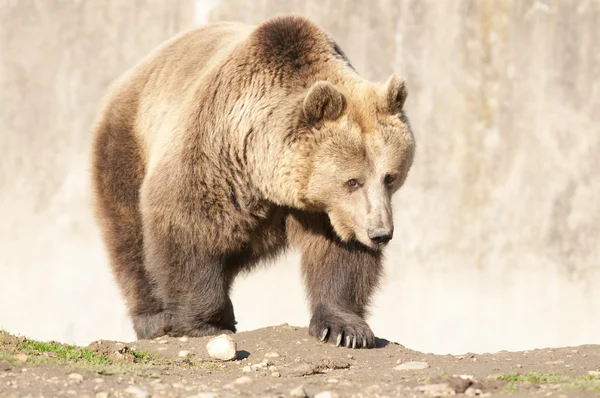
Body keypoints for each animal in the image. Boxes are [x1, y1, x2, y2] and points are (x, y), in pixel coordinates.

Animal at [91, 14, 414, 348]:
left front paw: (344, 330)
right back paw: (154, 318)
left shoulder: (325, 209)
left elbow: (339, 254)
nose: (381, 233)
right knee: (130, 235)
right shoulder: (212, 153)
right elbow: (186, 225)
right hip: (128, 141)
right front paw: (200, 323)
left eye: (390, 177)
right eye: (352, 181)